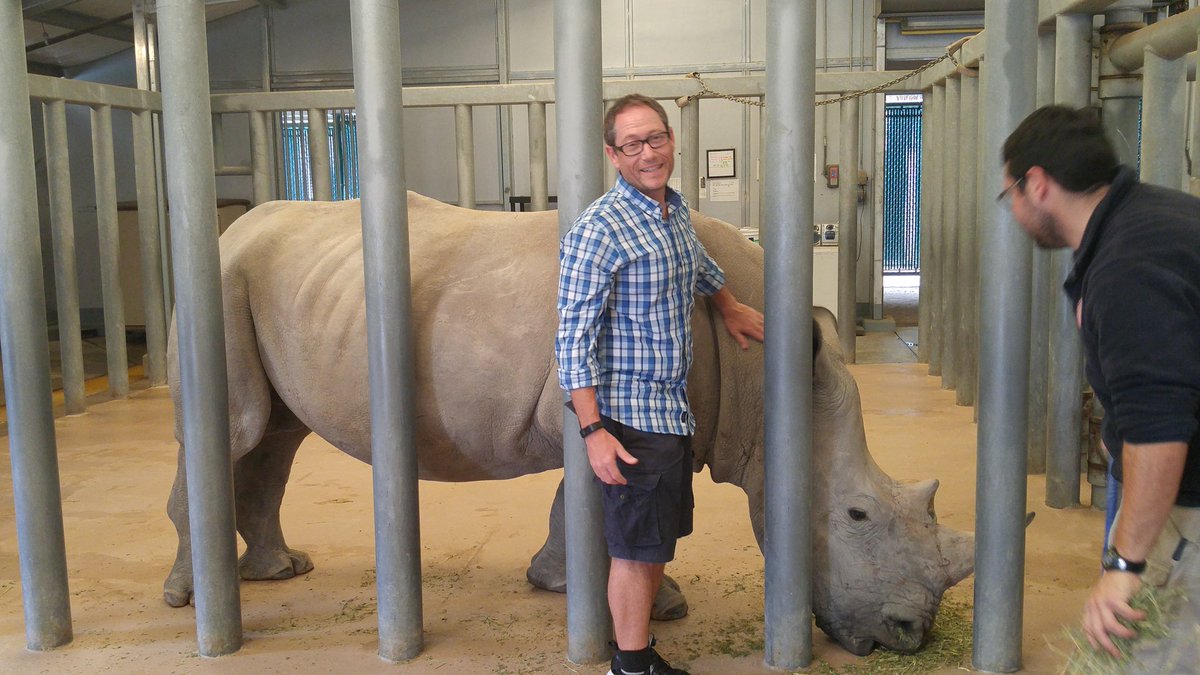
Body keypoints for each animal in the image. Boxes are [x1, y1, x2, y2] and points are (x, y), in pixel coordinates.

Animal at [163, 193, 974, 655]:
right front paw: (643, 606)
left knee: (277, 437)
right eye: (857, 514)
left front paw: (573, 586)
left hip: (280, 287)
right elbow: (600, 511)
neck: (762, 379)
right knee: (239, 430)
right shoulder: (593, 409)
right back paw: (191, 602)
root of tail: (231, 230)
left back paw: (278, 570)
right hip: (223, 281)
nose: (911, 637)